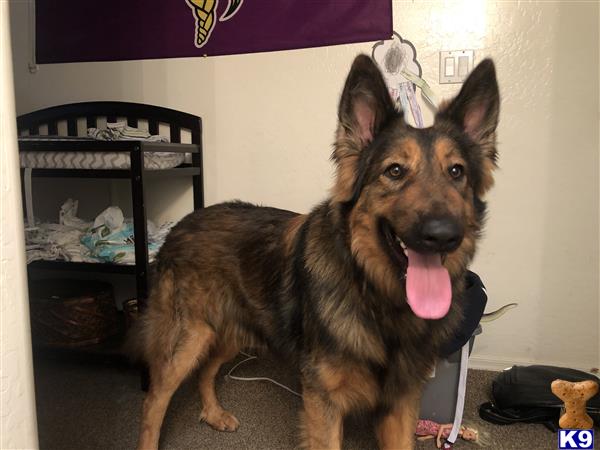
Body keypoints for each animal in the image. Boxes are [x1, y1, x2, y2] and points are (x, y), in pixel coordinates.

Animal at [134, 55, 500, 450]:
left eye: (456, 172)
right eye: (395, 171)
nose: (444, 235)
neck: (377, 297)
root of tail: (182, 223)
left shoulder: (400, 404)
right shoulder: (323, 402)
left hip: (230, 331)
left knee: (206, 369)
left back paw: (213, 413)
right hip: (189, 338)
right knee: (154, 400)